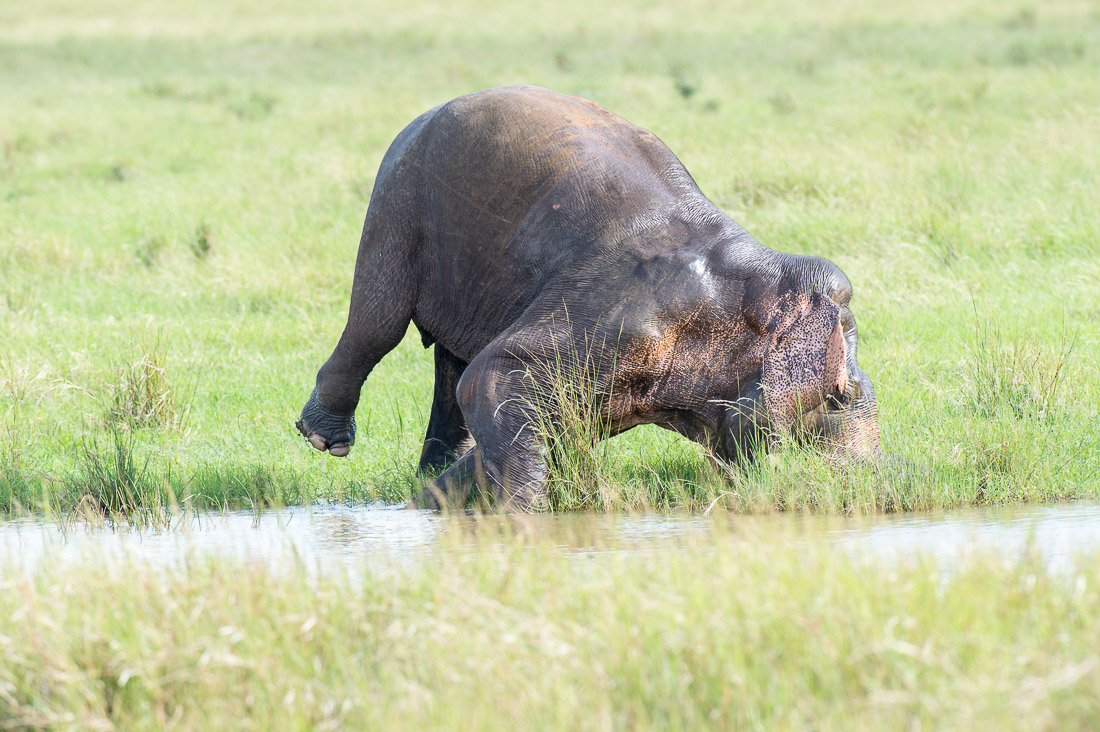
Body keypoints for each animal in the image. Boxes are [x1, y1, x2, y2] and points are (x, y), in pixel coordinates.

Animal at [297, 84, 880, 508]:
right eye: (838, 397)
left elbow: (523, 407)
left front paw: (434, 504)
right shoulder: (621, 316)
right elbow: (495, 374)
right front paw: (518, 519)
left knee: (451, 365)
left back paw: (429, 474)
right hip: (398, 200)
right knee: (380, 322)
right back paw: (327, 440)